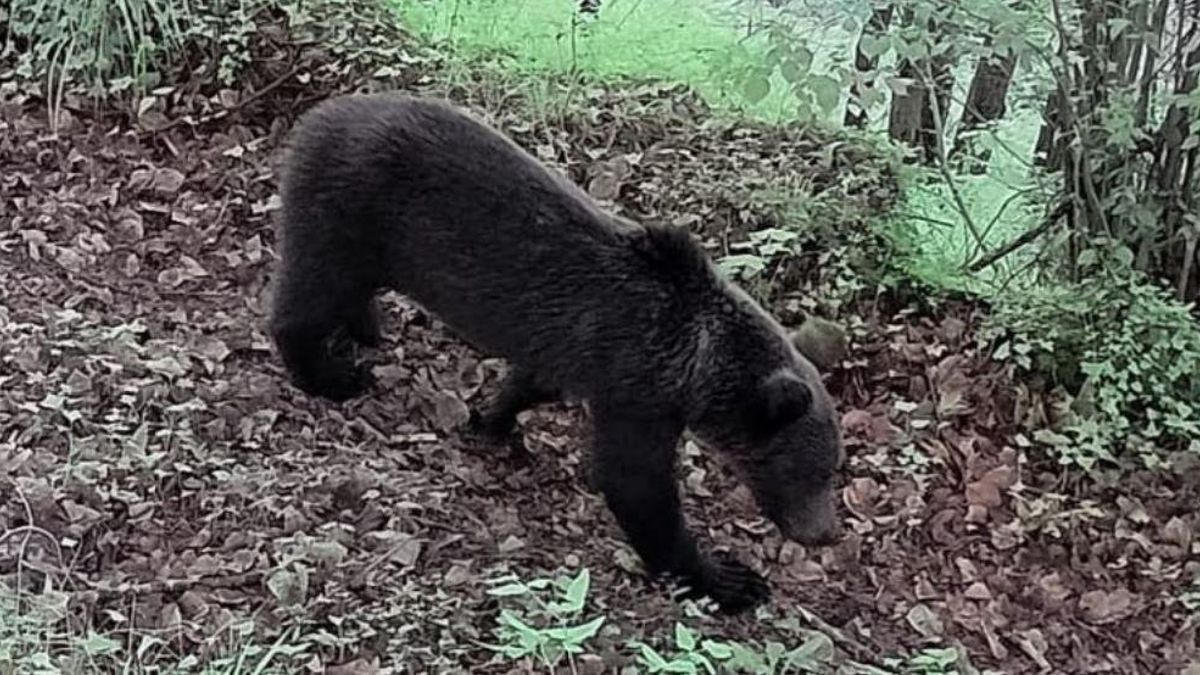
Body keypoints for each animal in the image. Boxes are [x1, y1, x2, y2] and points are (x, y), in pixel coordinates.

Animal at [268, 92, 845, 613]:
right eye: (813, 470)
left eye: (832, 468)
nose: (826, 533)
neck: (696, 363)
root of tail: (316, 115)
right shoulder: (636, 386)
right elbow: (636, 485)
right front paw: (727, 578)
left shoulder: (587, 358)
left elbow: (532, 381)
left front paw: (494, 418)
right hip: (351, 209)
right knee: (312, 290)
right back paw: (330, 373)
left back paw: (366, 327)